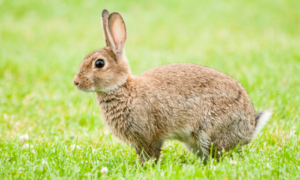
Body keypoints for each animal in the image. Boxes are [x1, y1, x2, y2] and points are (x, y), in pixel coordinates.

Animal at [72, 9, 272, 165]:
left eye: (99, 63)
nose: (76, 82)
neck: (123, 88)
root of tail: (249, 129)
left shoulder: (150, 136)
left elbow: (152, 153)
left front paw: (147, 169)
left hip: (209, 132)